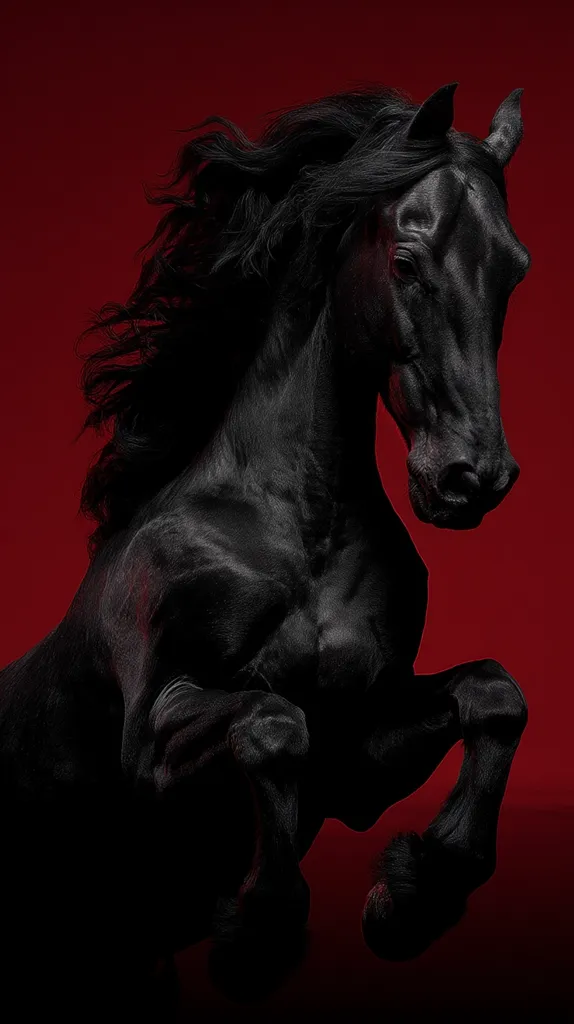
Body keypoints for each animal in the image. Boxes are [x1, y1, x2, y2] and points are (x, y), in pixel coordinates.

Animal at [0, 82, 531, 1010]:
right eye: (406, 261)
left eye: (513, 268)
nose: (473, 476)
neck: (296, 534)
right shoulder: (153, 738)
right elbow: (276, 724)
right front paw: (257, 931)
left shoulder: (358, 756)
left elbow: (494, 694)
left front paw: (415, 894)